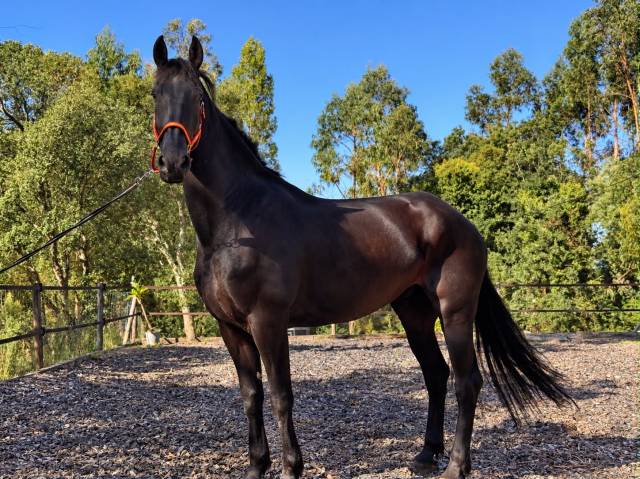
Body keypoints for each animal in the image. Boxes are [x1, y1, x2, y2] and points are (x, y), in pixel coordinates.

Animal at [150, 35, 571, 479]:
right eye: (156, 94)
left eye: (197, 97)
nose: (173, 162)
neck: (238, 221)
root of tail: (462, 223)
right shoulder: (230, 327)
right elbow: (251, 396)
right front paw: (256, 467)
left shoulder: (268, 322)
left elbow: (281, 395)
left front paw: (291, 468)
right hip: (414, 312)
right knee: (436, 375)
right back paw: (425, 455)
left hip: (455, 311)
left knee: (466, 381)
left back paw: (456, 466)